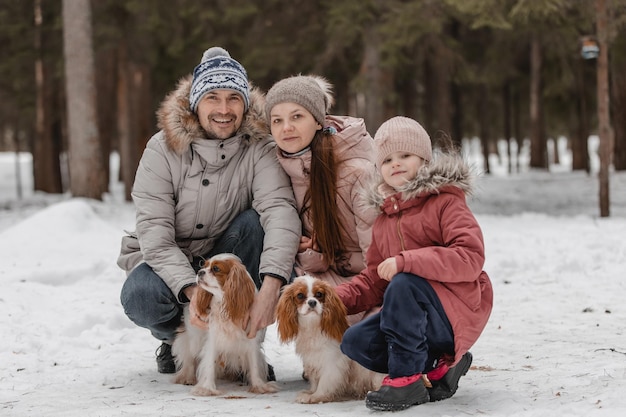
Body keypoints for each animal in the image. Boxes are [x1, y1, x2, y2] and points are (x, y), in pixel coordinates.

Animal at [172, 252, 276, 394]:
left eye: (216, 269)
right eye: (204, 266)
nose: (200, 272)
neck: (224, 303)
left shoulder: (251, 339)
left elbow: (254, 364)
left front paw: (259, 386)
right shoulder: (212, 339)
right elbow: (209, 364)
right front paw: (207, 388)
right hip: (193, 337)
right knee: (189, 356)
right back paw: (186, 377)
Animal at [276, 274, 382, 402]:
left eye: (319, 294)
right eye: (300, 295)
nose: (312, 302)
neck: (312, 326)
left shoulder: (331, 363)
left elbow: (324, 382)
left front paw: (316, 396)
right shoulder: (313, 361)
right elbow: (315, 380)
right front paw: (311, 392)